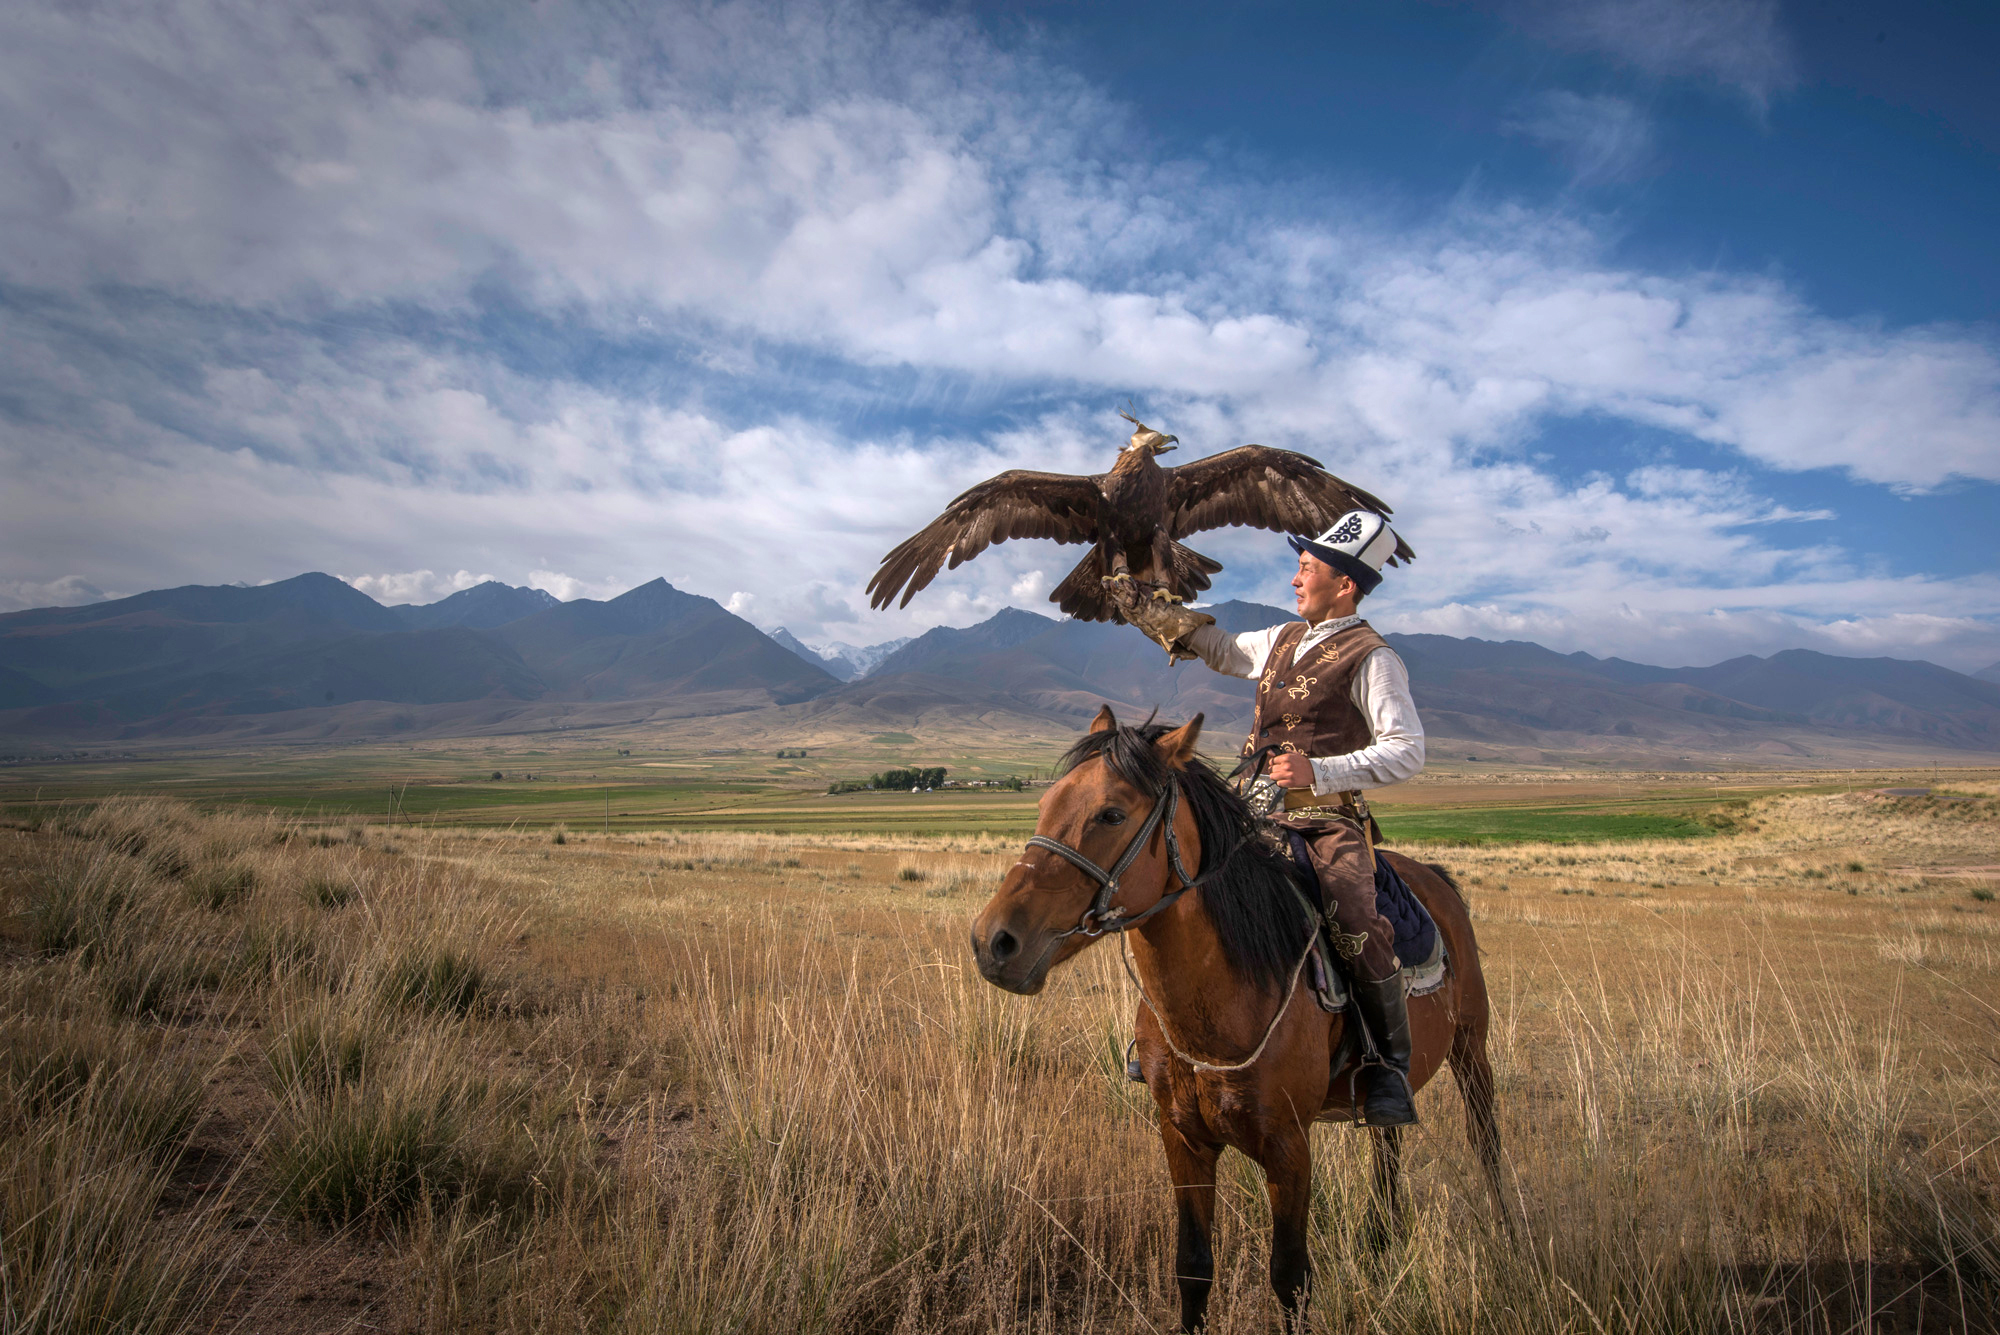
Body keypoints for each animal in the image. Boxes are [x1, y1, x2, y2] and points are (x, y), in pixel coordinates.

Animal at [968, 707, 1504, 1327]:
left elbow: (1291, 1279)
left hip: (1471, 1048)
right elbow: (1193, 1267)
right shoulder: (1183, 1138)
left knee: (1485, 1139)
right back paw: (1380, 1242)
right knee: (1388, 1142)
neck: (1220, 1002)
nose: (994, 942)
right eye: (1046, 802)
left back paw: (1508, 1238)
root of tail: (1436, 879)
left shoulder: (1289, 1148)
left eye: (1111, 813)